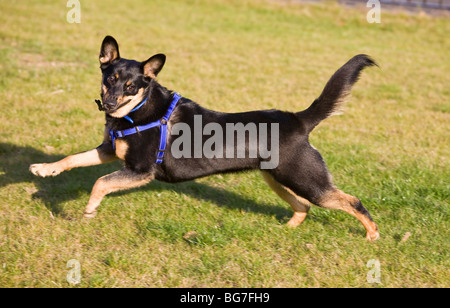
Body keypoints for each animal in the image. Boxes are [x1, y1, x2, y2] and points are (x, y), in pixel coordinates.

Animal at [29, 36, 380, 241]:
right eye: (110, 78)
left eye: (131, 86)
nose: (110, 104)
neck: (138, 112)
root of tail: (298, 119)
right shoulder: (110, 151)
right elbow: (73, 159)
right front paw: (45, 169)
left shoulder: (140, 171)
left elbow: (100, 183)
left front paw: (89, 211)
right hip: (278, 178)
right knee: (303, 206)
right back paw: (287, 230)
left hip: (307, 180)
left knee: (351, 201)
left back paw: (372, 235)